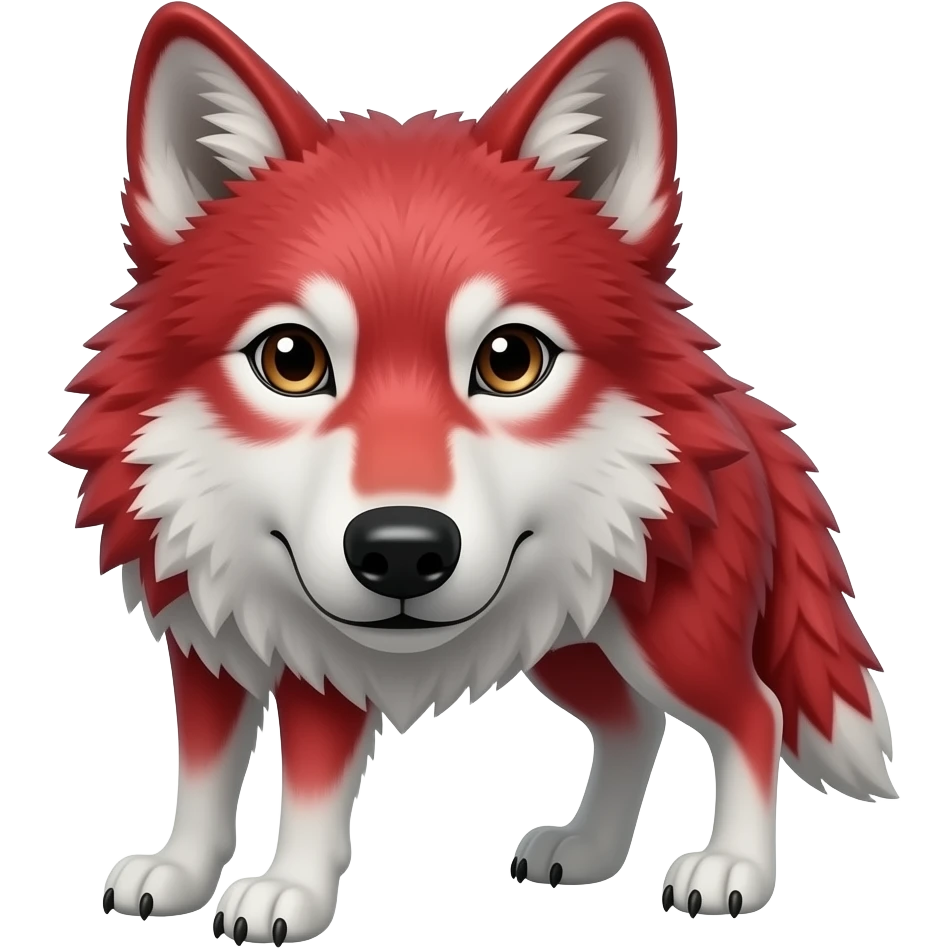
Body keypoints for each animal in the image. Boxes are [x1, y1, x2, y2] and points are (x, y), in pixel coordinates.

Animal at [54, 1, 897, 943]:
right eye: (290, 360)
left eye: (508, 359)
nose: (400, 552)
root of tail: (734, 403)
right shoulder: (210, 649)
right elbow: (201, 783)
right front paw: (179, 873)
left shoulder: (324, 673)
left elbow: (306, 797)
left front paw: (287, 894)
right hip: (573, 644)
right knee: (635, 724)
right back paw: (589, 849)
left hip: (668, 641)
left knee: (753, 714)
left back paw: (733, 871)